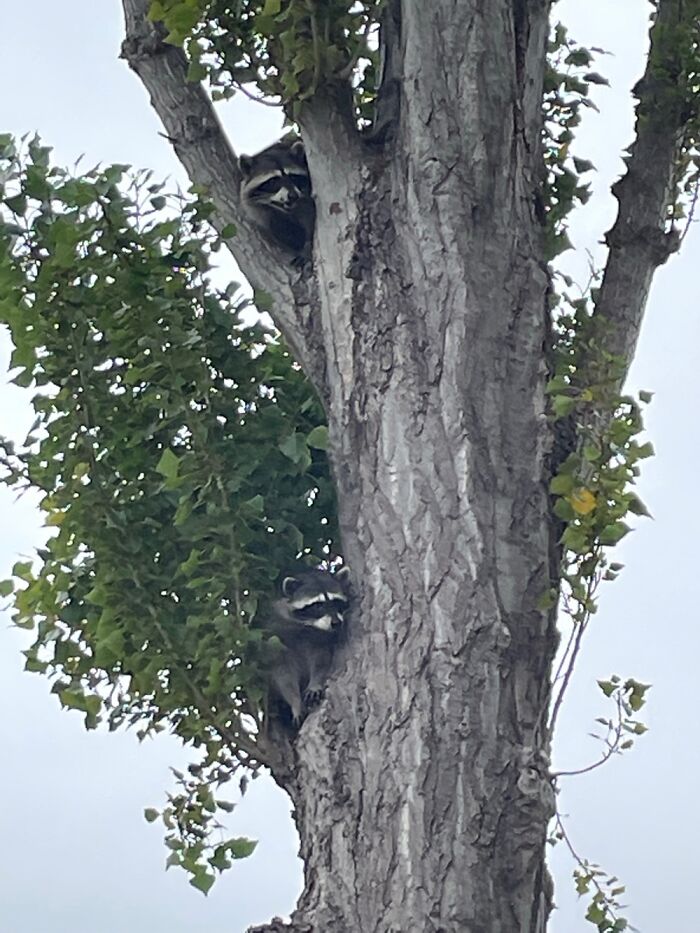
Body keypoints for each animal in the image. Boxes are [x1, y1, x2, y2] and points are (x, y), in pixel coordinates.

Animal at [261, 566, 351, 726]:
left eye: (336, 602)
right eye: (318, 606)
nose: (336, 623)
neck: (305, 626)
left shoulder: (319, 638)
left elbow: (321, 659)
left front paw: (315, 683)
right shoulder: (275, 637)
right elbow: (283, 673)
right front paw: (295, 701)